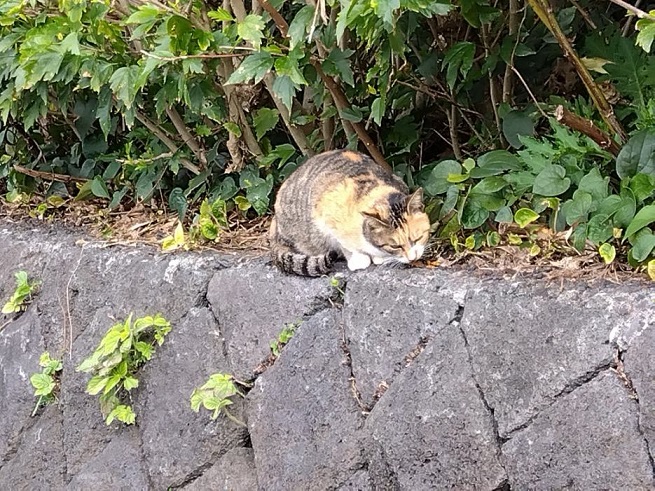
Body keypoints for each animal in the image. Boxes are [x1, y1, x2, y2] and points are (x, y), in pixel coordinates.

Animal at [269, 149, 430, 276]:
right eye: (395, 246)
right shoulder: (325, 209)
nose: (413, 258)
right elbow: (344, 244)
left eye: (418, 238)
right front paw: (359, 259)